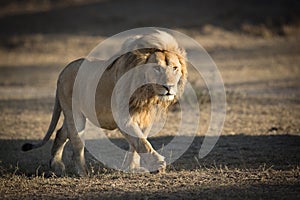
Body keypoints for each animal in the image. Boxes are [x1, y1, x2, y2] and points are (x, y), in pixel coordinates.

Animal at [22, 30, 188, 176]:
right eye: (156, 68)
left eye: (175, 68)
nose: (169, 87)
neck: (147, 93)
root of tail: (63, 71)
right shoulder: (123, 118)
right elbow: (141, 141)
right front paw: (158, 164)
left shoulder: (146, 118)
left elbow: (137, 143)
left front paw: (133, 168)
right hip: (74, 113)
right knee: (77, 142)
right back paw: (82, 172)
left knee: (61, 132)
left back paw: (56, 165)